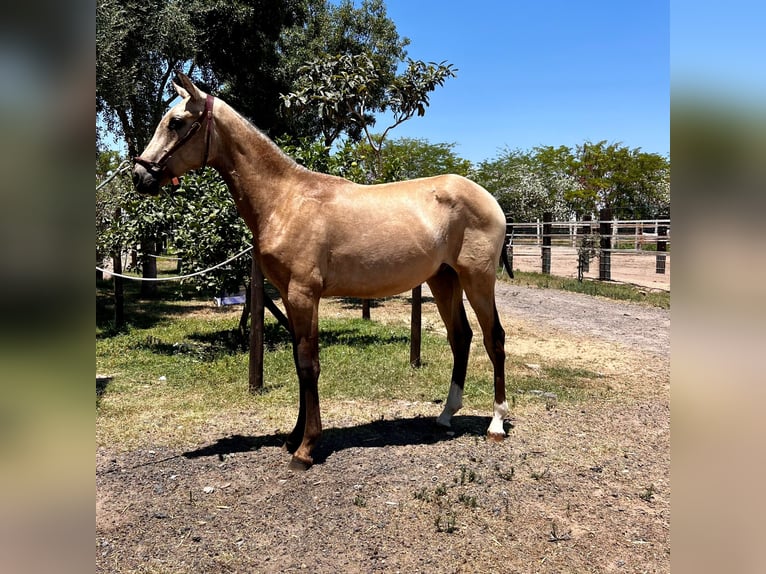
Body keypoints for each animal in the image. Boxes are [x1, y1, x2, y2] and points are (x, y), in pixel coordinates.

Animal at [135, 72, 512, 470]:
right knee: (461, 337)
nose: (139, 175)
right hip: (444, 279)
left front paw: (306, 448)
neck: (285, 199)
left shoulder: (304, 294)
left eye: (176, 123)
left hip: (477, 279)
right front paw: (293, 437)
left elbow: (308, 365)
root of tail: (489, 198)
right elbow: (300, 362)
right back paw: (445, 415)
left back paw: (496, 423)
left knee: (494, 338)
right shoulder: (291, 296)